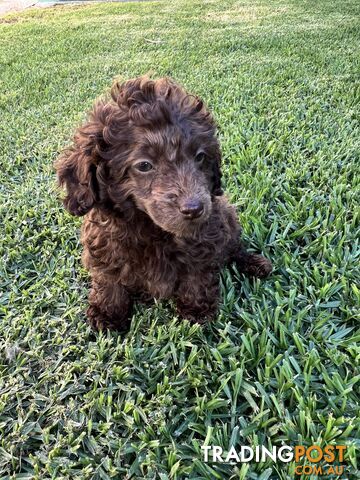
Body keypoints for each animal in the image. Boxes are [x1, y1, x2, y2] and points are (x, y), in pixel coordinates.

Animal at [55, 76, 270, 330]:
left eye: (200, 157)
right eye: (144, 165)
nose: (195, 209)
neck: (151, 228)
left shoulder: (205, 238)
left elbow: (197, 275)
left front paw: (196, 310)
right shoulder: (103, 243)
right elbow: (108, 279)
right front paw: (107, 313)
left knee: (234, 247)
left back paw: (254, 263)